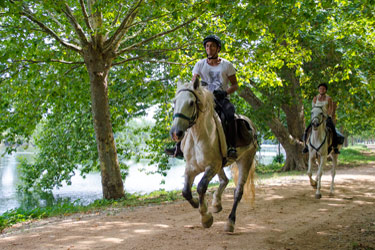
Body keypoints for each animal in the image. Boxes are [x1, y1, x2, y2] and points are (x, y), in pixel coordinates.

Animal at [170, 78, 258, 232]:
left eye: (191, 103)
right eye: (175, 102)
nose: (176, 133)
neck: (198, 137)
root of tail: (250, 124)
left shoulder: (212, 166)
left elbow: (201, 187)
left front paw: (206, 217)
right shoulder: (191, 168)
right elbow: (186, 191)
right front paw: (195, 203)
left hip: (245, 161)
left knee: (238, 192)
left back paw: (230, 222)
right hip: (222, 165)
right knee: (224, 180)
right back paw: (216, 204)